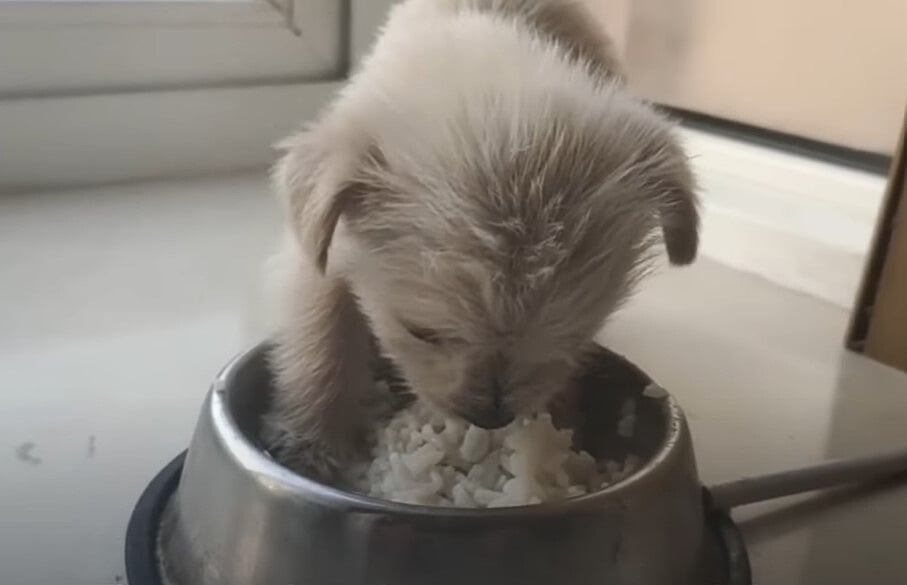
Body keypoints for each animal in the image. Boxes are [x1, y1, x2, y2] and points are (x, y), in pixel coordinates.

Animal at [262, 0, 704, 480]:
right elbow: (322, 335)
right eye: (420, 331)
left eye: (573, 333)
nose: (490, 418)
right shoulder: (326, 251)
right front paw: (311, 442)